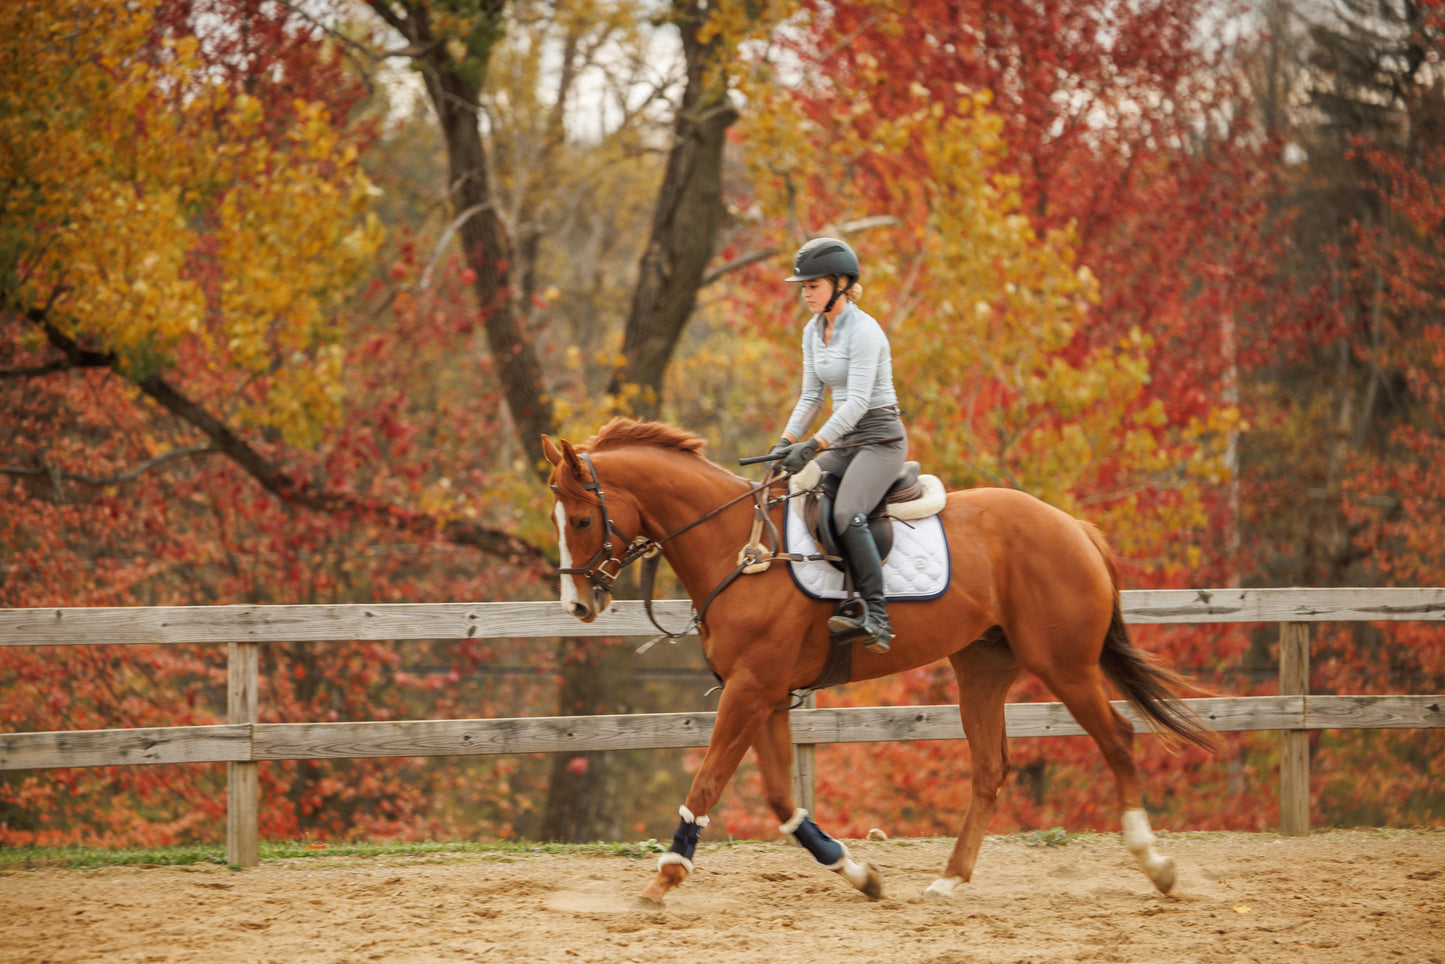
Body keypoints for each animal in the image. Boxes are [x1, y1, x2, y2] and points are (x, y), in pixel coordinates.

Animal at [543, 419, 1219, 907]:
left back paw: (1155, 865)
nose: (577, 604)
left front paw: (666, 875)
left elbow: (708, 783)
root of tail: (1073, 527)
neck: (741, 547)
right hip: (982, 669)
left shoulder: (751, 689)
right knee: (990, 768)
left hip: (1065, 666)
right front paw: (859, 872)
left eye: (581, 518)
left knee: (1119, 738)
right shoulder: (766, 694)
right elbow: (782, 802)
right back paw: (950, 879)